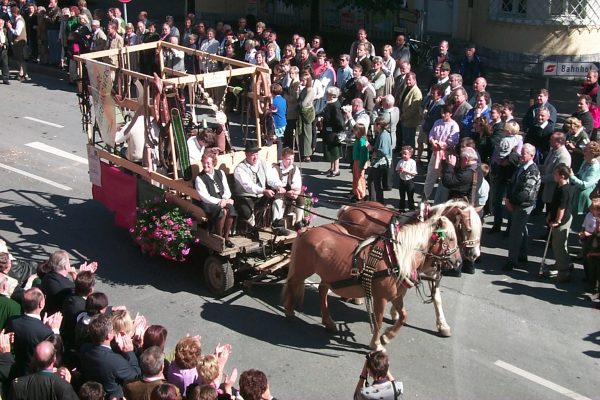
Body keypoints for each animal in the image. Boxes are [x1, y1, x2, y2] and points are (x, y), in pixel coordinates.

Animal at [282, 216, 460, 350]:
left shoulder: (396, 296)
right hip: (303, 269)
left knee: (322, 290)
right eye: (450, 239)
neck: (395, 256)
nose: (458, 262)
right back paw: (289, 312)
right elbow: (378, 320)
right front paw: (376, 344)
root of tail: (306, 231)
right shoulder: (381, 298)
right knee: (292, 283)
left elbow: (403, 316)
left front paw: (387, 337)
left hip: (329, 275)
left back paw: (329, 322)